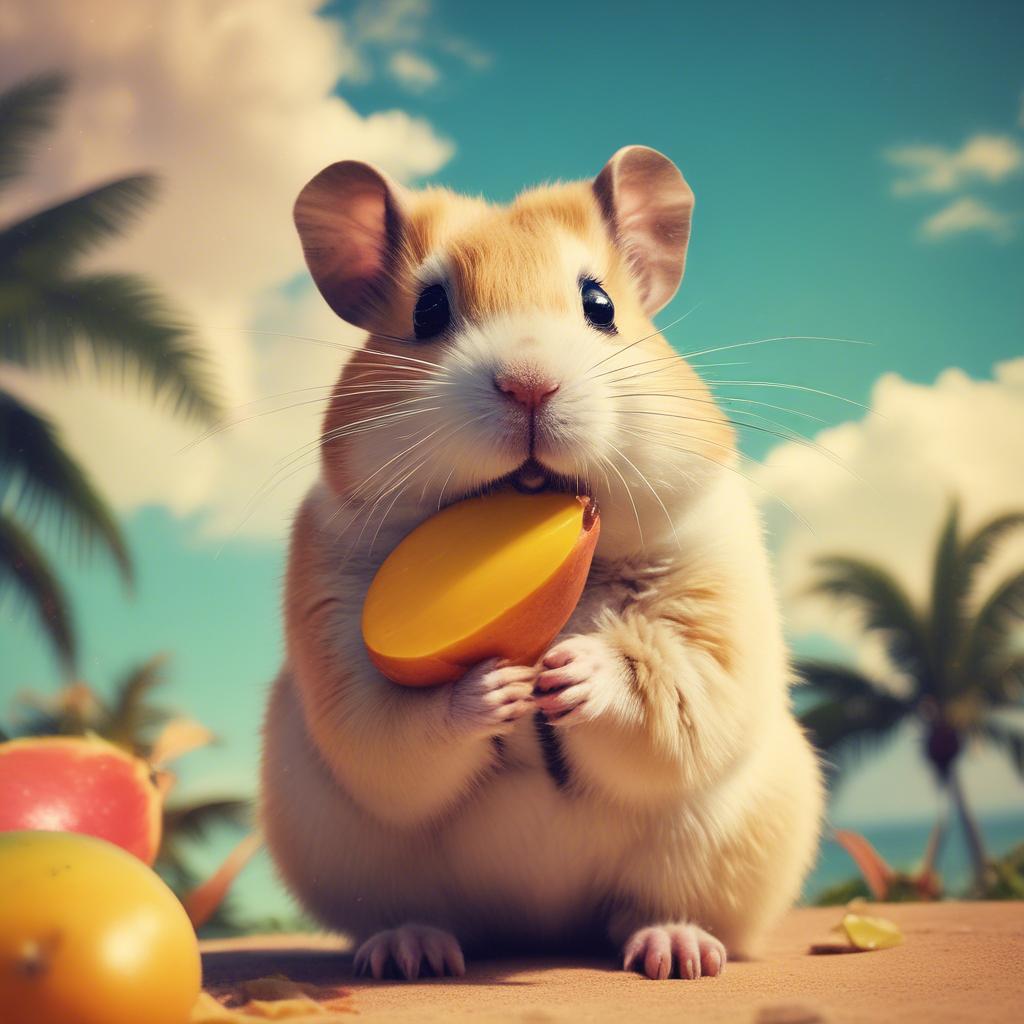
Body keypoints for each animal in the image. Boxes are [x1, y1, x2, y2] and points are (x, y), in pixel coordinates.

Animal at [260, 146, 824, 981]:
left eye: (600, 304)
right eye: (428, 311)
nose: (529, 383)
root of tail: (542, 927)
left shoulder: (711, 621)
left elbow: (670, 684)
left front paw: (569, 669)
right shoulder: (340, 651)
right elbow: (394, 730)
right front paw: (498, 688)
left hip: (718, 848)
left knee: (650, 913)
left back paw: (677, 950)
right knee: (414, 916)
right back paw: (409, 951)